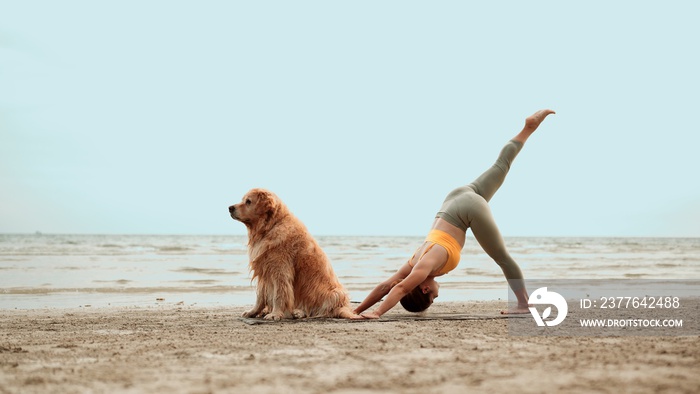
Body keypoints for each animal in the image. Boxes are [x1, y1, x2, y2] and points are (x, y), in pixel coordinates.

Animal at [230, 188, 358, 320]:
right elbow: (260, 296)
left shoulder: (280, 270)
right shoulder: (264, 270)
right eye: (243, 200)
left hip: (334, 293)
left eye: (248, 201)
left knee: (320, 311)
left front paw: (275, 314)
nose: (230, 208)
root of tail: (342, 307)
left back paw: (300, 312)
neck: (270, 227)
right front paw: (253, 312)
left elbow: (279, 294)